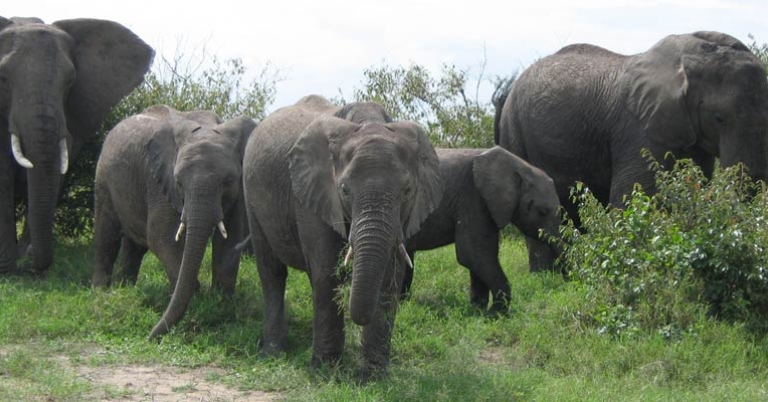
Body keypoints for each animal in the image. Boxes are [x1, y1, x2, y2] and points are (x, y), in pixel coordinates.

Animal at [92, 105, 257, 339]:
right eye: (178, 182)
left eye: (229, 181)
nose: (150, 336)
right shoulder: (159, 182)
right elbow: (162, 236)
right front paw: (195, 296)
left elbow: (232, 237)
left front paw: (221, 303)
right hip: (104, 178)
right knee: (107, 237)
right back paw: (101, 292)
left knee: (135, 246)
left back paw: (125, 288)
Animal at [243, 95, 443, 378]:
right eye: (345, 191)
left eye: (407, 191)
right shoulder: (312, 196)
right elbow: (327, 273)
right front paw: (325, 371)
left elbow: (389, 277)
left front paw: (372, 377)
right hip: (252, 197)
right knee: (272, 272)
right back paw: (273, 353)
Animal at [402, 146, 561, 311]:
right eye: (542, 212)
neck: (518, 167)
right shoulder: (472, 196)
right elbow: (473, 255)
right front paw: (495, 313)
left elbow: (479, 257)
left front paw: (478, 310)